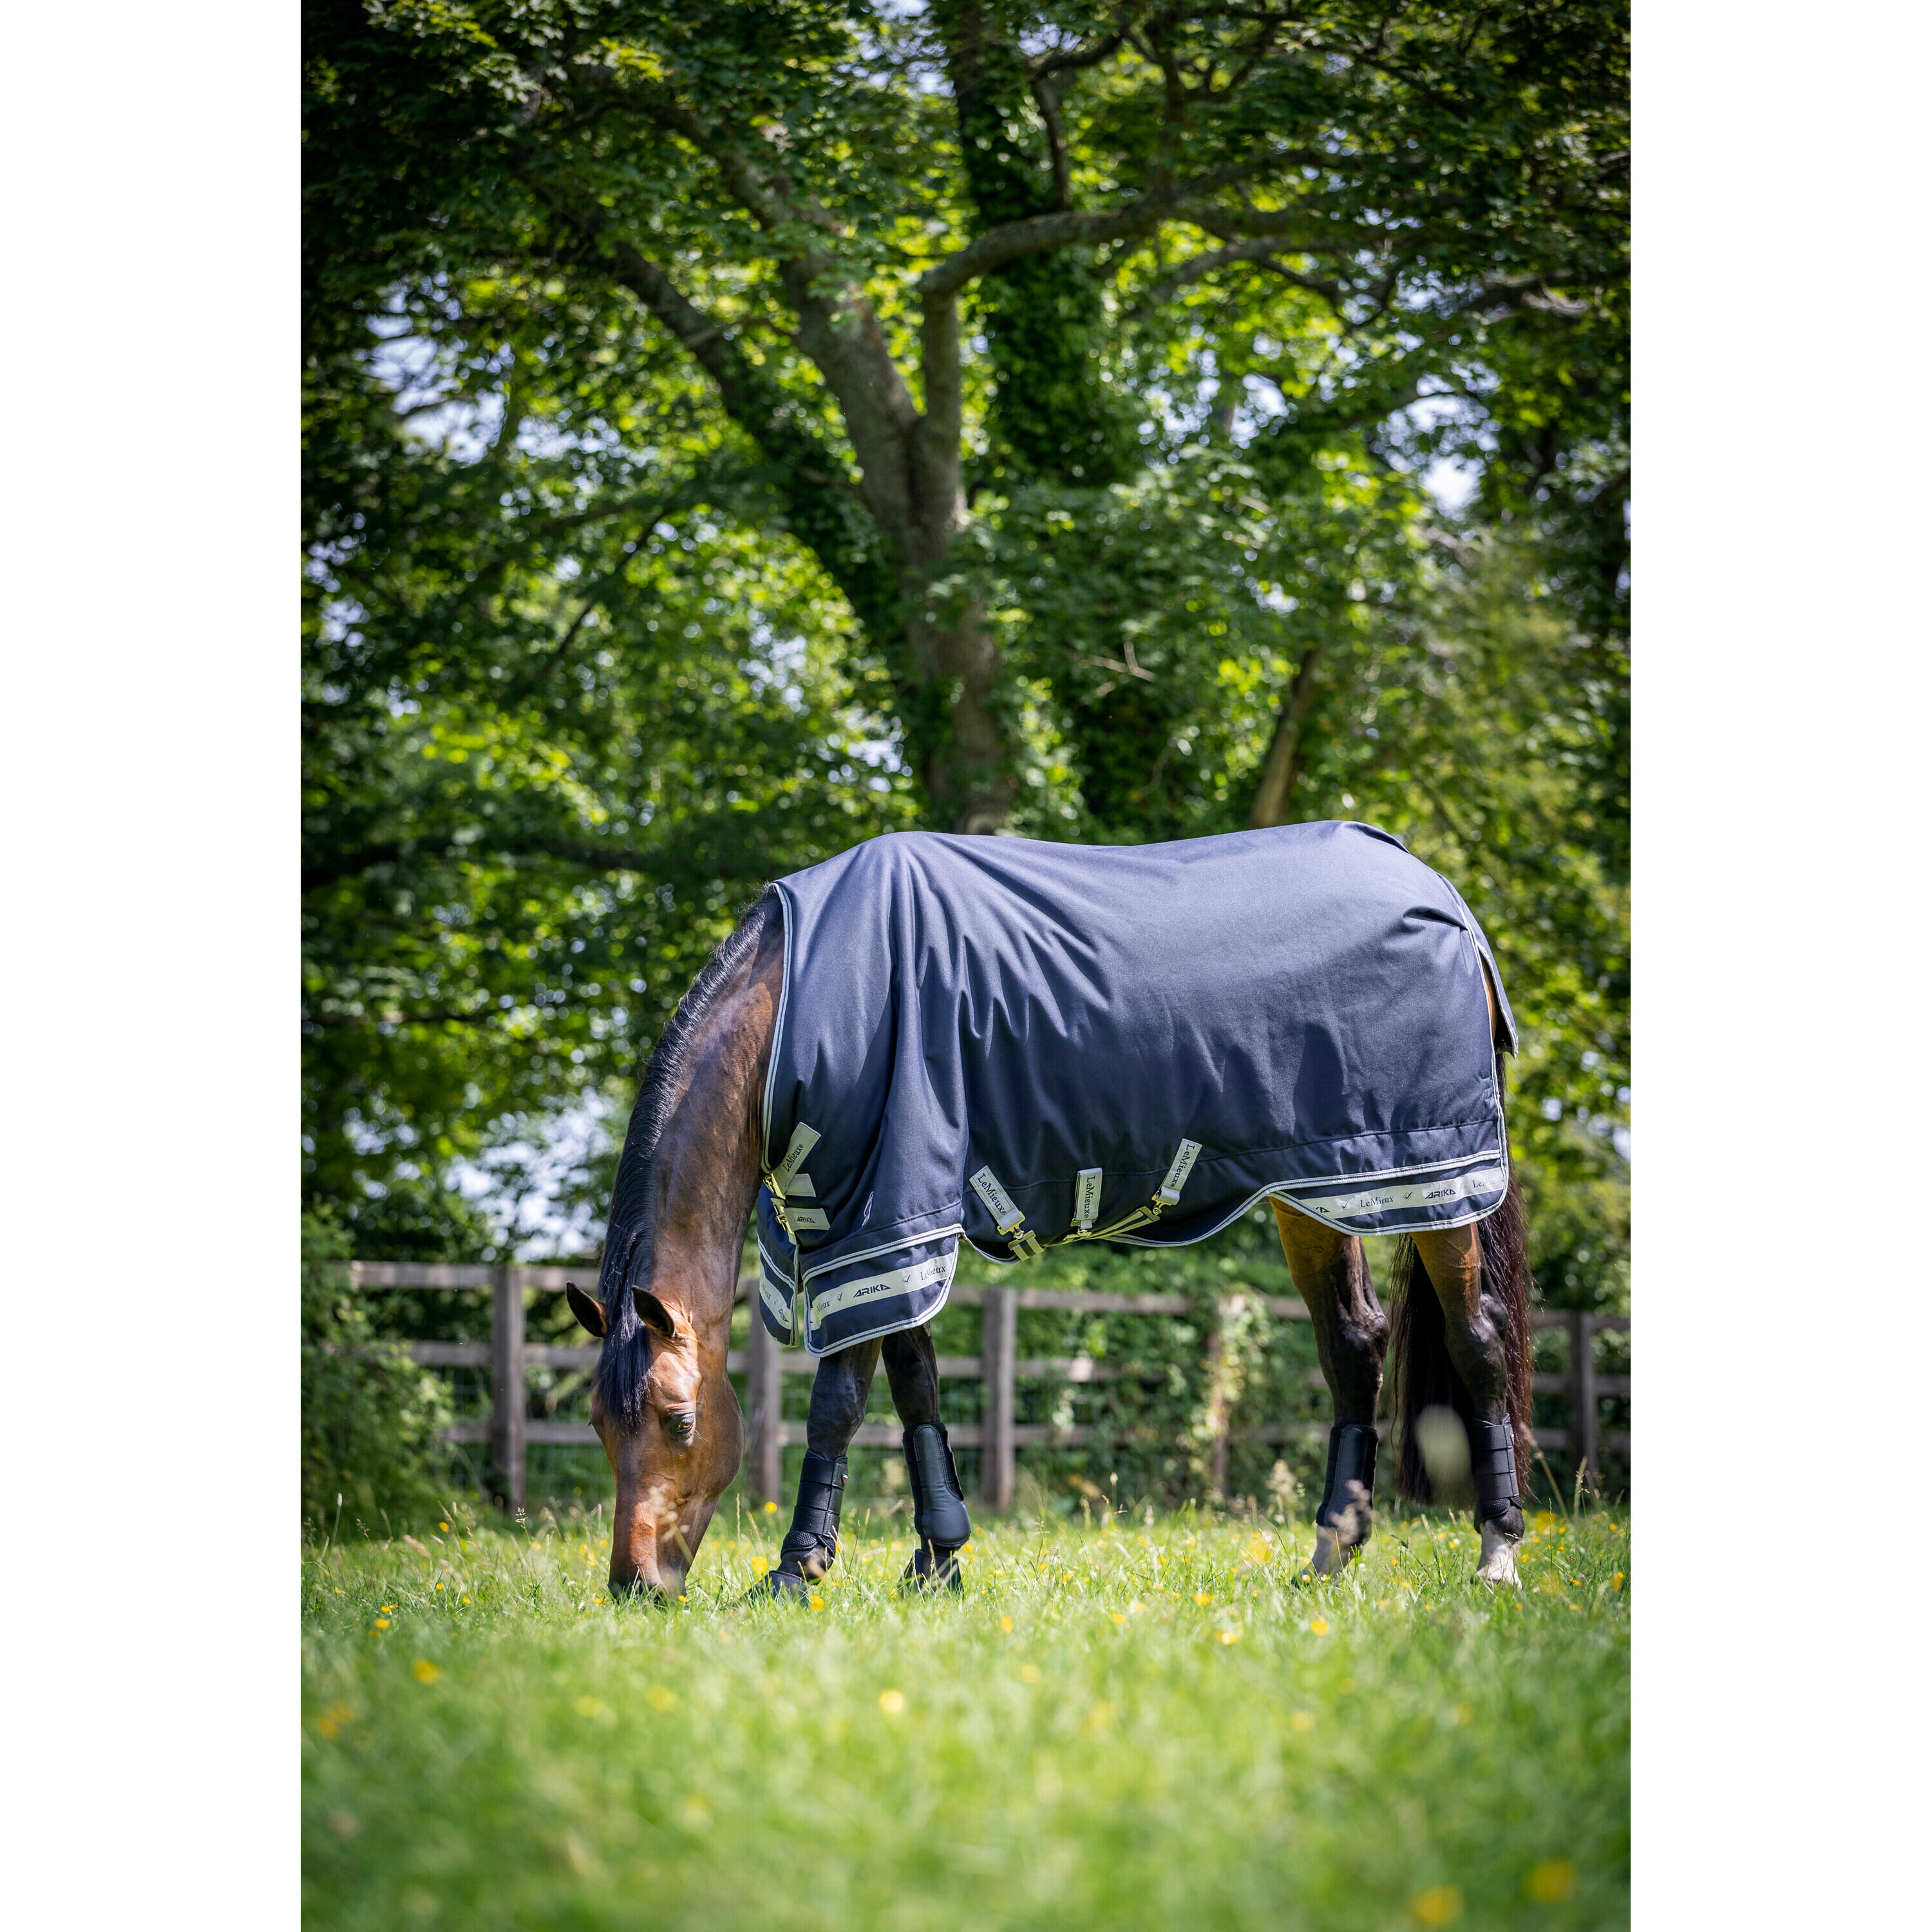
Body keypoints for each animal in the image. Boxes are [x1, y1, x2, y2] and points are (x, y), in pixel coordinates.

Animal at [564, 823, 1533, 1601]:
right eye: (600, 1425)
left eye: (680, 1421)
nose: (636, 1585)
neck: (800, 1000)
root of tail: (1442, 898)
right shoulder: (892, 1227)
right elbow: (916, 1385)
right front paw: (938, 1559)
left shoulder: (877, 1217)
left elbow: (840, 1402)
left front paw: (796, 1570)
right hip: (1323, 1187)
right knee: (1354, 1345)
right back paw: (1330, 1556)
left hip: (1436, 1181)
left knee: (1478, 1337)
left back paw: (1497, 1553)